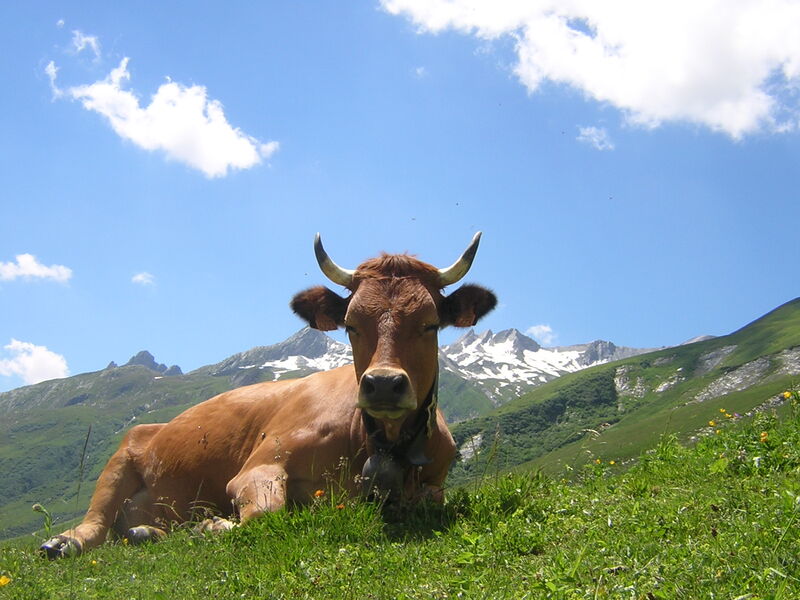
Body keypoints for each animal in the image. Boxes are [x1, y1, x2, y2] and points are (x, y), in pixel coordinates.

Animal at [40, 233, 496, 558]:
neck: (376, 442)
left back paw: (147, 530)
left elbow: (427, 501)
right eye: (351, 325)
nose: (383, 383)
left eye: (430, 324)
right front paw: (214, 525)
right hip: (122, 456)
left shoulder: (434, 485)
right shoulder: (259, 465)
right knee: (95, 524)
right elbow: (263, 512)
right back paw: (64, 542)